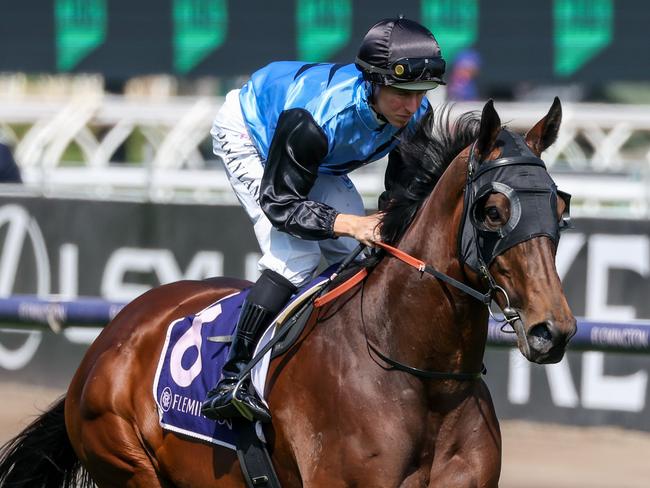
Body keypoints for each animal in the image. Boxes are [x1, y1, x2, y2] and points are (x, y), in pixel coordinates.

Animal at [2, 100, 576, 488]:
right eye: (493, 211)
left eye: (561, 207)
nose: (553, 330)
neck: (422, 376)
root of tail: (110, 337)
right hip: (125, 458)